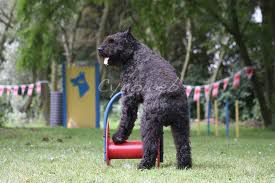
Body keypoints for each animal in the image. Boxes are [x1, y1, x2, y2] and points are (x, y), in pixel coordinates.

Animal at [98, 27, 192, 169]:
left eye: (112, 41)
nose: (100, 49)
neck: (133, 53)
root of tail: (172, 96)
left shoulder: (129, 98)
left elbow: (126, 120)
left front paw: (118, 138)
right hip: (181, 125)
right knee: (183, 145)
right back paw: (183, 165)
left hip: (149, 124)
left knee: (150, 145)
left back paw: (144, 164)